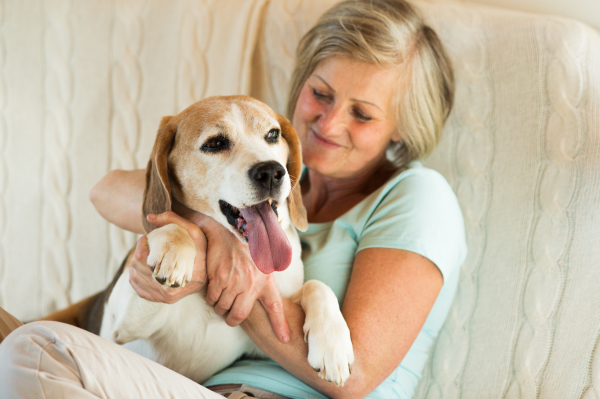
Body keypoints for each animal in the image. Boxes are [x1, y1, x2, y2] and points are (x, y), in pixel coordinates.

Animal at [79, 96, 354, 388]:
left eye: (273, 134)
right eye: (215, 143)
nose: (271, 171)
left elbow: (317, 286)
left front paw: (332, 343)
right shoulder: (120, 327)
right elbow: (171, 222)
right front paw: (174, 246)